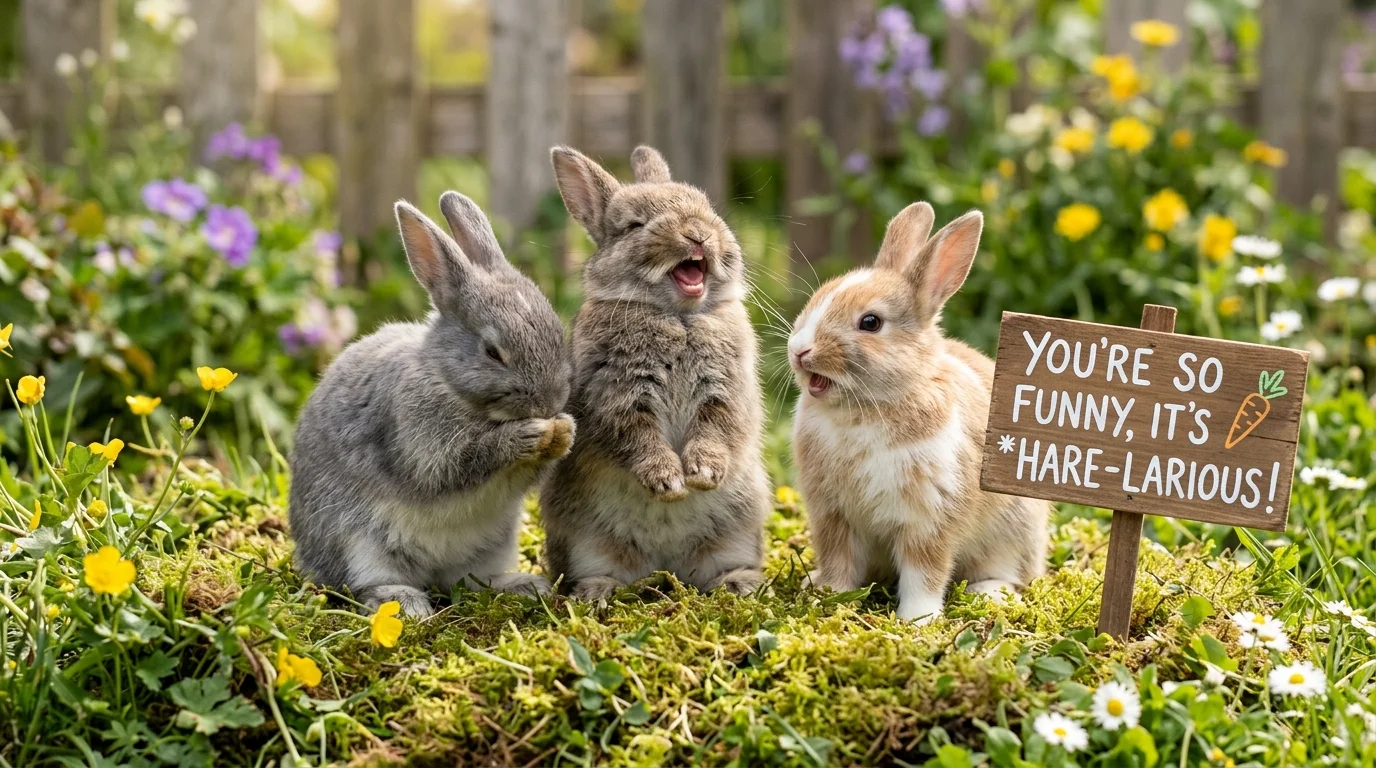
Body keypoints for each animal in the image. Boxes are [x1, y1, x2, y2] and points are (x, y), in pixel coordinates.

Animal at [289, 191, 574, 618]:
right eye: (492, 352)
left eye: (558, 333)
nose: (549, 402)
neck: (448, 380)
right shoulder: (421, 443)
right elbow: (457, 466)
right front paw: (529, 434)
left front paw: (565, 430)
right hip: (359, 543)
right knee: (366, 583)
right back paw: (404, 604)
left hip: (493, 545)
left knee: (469, 580)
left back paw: (521, 585)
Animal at [539, 145, 770, 600]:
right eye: (635, 225)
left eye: (707, 208)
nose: (698, 234)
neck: (677, 315)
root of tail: (667, 566)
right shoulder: (616, 396)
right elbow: (637, 437)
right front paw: (669, 484)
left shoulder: (726, 391)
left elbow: (717, 428)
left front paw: (702, 475)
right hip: (584, 542)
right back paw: (597, 592)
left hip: (737, 532)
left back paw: (740, 584)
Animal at [787, 202, 1049, 624]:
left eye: (871, 322)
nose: (799, 350)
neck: (866, 409)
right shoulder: (834, 517)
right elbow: (840, 563)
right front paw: (828, 596)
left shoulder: (930, 519)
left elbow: (924, 573)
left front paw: (917, 619)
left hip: (1012, 534)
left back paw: (990, 593)